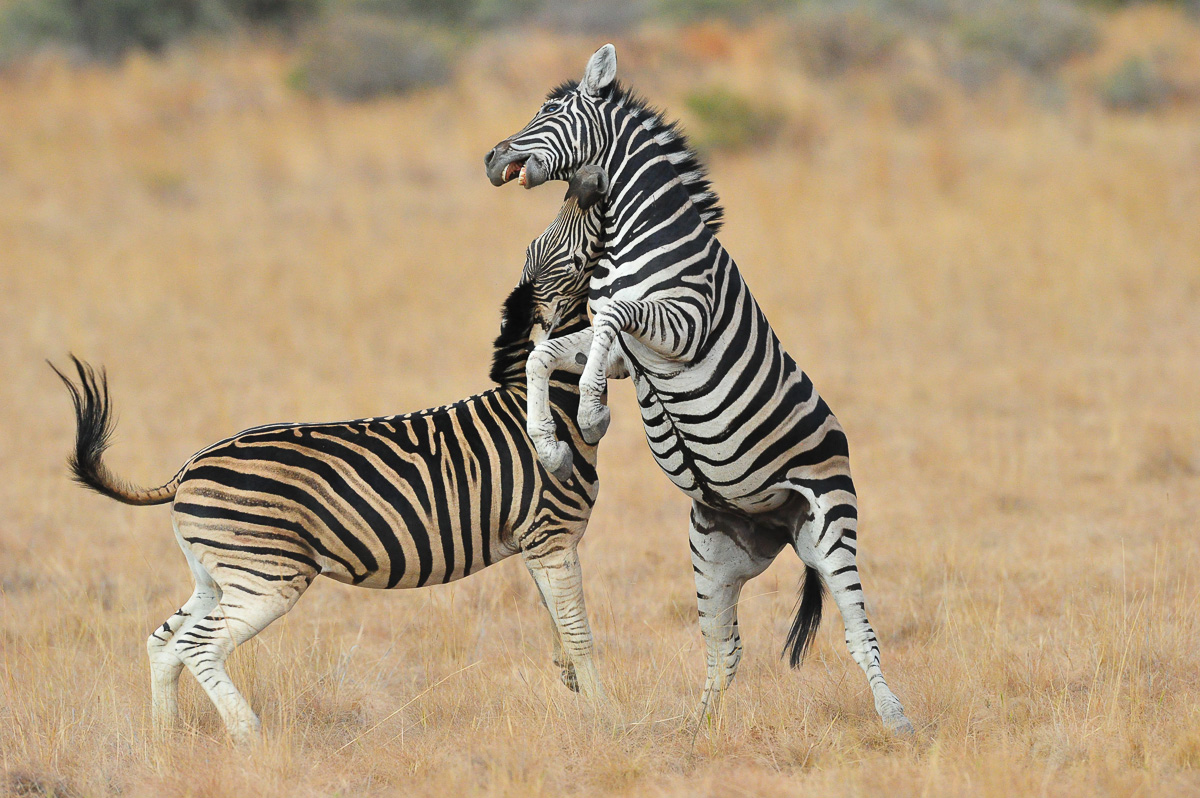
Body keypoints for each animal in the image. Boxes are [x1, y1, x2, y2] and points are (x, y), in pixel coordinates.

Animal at [51, 168, 613, 745]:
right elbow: (580, 631)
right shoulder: (551, 534)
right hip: (265, 575)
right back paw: (247, 735)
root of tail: (187, 469)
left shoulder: (536, 545)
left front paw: (571, 683)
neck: (551, 402)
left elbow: (558, 624)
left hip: (216, 573)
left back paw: (166, 740)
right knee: (196, 645)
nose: (590, 181)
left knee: (164, 642)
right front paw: (605, 718)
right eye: (571, 253)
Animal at [485, 45, 915, 735]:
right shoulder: (627, 355)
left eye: (551, 113)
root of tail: (777, 527)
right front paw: (550, 442)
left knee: (858, 631)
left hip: (832, 523)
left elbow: (611, 317)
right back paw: (699, 729)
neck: (638, 238)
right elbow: (548, 354)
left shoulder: (681, 323)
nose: (491, 159)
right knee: (724, 645)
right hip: (713, 548)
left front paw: (592, 416)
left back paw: (895, 718)